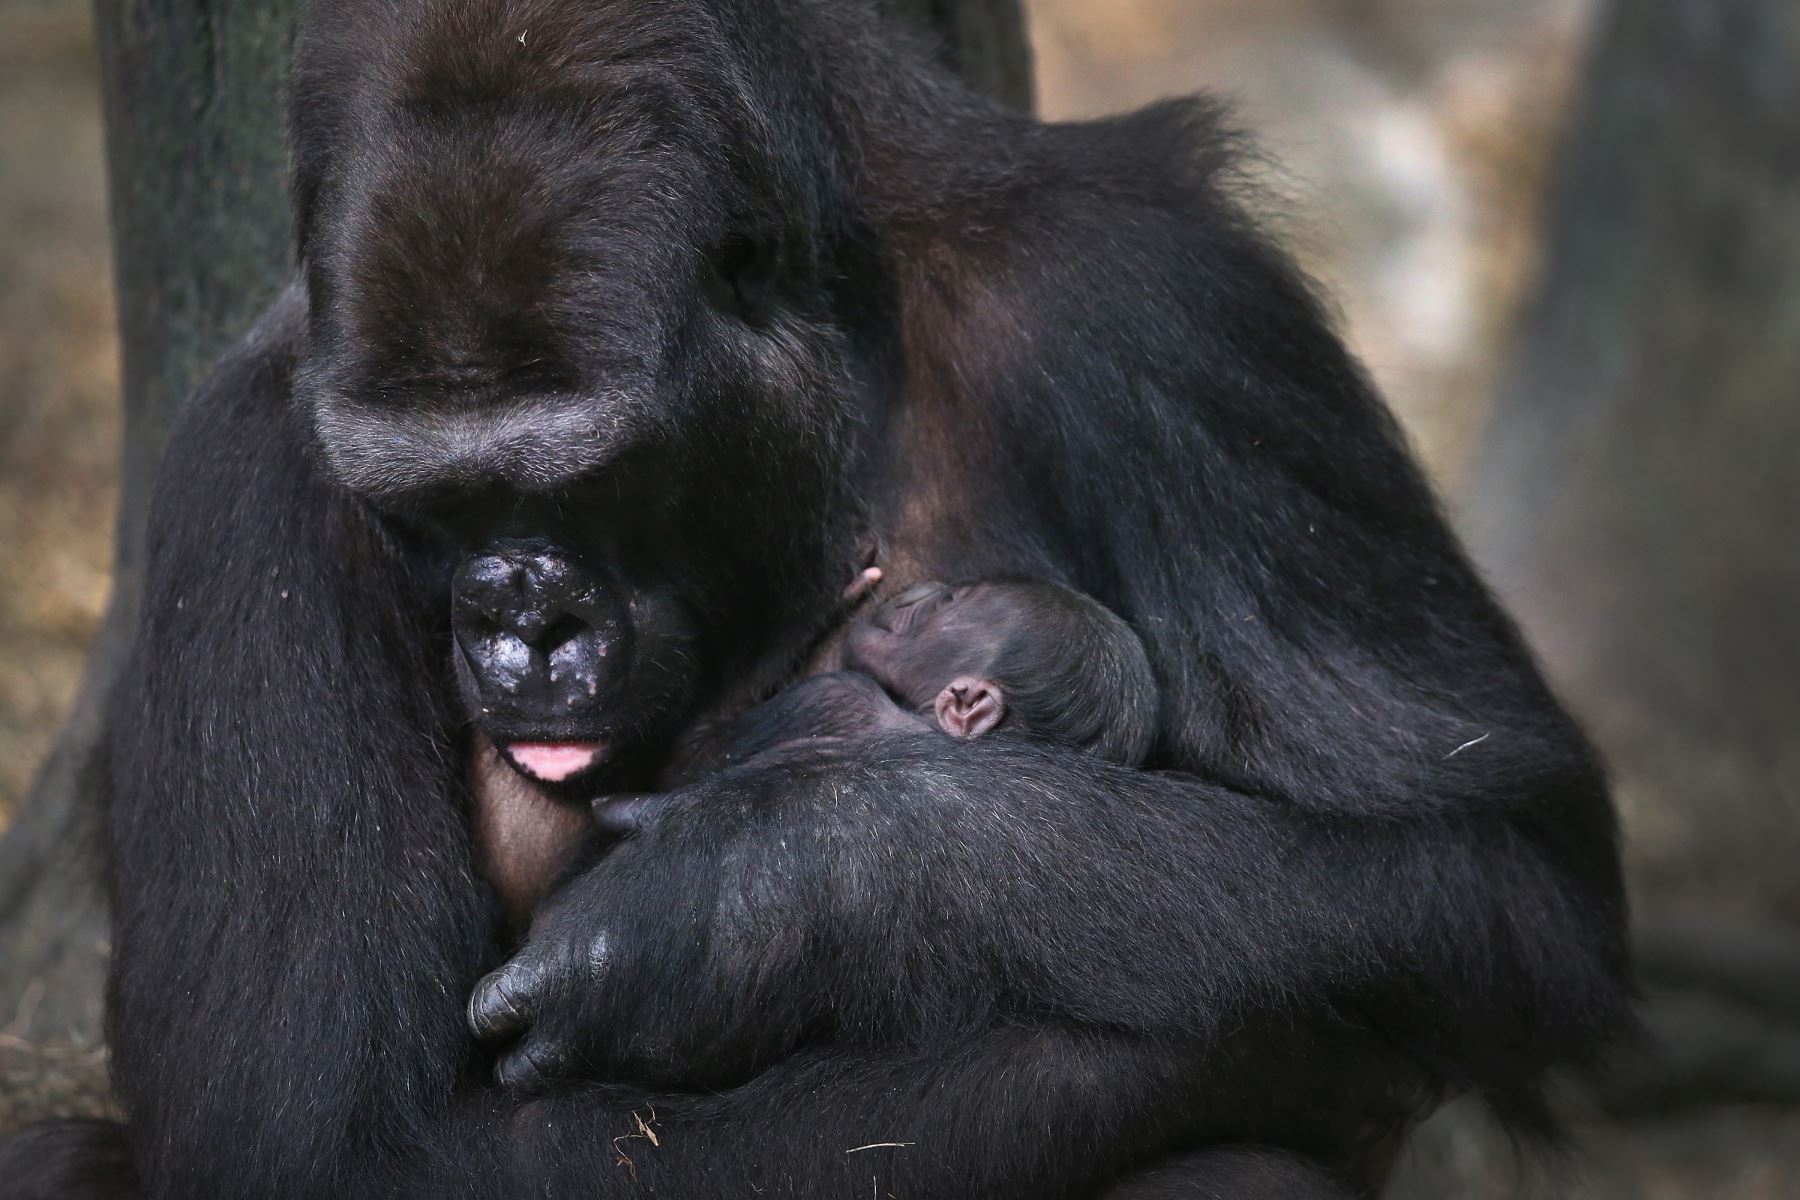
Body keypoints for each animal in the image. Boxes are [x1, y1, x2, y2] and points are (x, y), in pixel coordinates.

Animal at [7, 2, 1634, 1200]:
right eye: (437, 504)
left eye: (587, 478)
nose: (518, 622)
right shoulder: (246, 469)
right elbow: (320, 1146)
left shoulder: (1163, 306)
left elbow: (1491, 875)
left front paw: (775, 899)